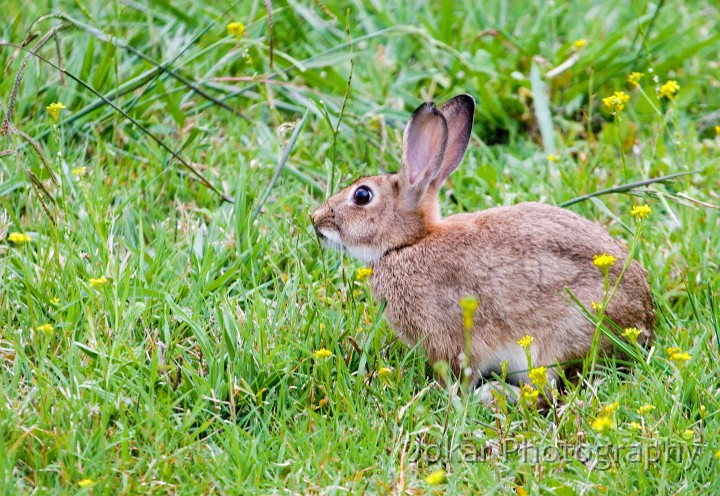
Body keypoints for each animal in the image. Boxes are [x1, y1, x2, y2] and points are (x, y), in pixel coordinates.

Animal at [310, 94, 652, 404]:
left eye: (362, 195)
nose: (315, 220)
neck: (408, 244)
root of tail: (645, 324)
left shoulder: (449, 337)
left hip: (555, 341)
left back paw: (494, 394)